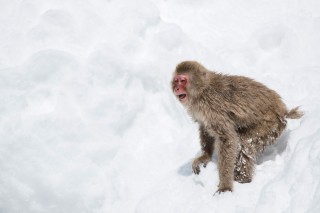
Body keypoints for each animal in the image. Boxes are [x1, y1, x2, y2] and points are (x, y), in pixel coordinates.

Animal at [170, 60, 302, 193]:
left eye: (183, 80)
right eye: (176, 80)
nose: (176, 87)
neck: (202, 91)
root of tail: (283, 111)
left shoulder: (212, 107)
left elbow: (227, 138)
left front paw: (225, 186)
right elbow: (205, 129)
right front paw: (205, 157)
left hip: (270, 124)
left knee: (245, 143)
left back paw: (243, 179)